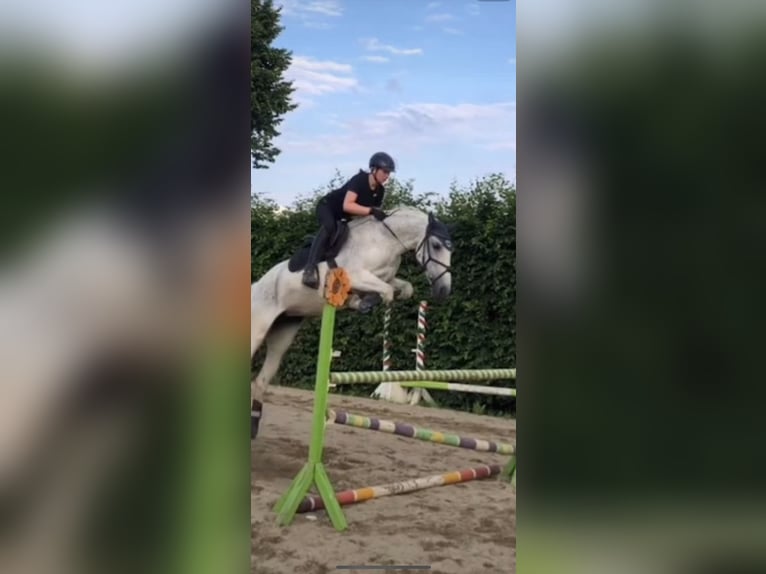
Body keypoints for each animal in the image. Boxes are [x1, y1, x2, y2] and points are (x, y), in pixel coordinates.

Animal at [252, 207, 456, 440]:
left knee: (261, 380)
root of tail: (256, 286)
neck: (385, 240)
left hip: (284, 333)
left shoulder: (387, 278)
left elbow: (403, 289)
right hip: (257, 329)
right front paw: (361, 302)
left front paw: (359, 301)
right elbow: (386, 291)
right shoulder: (356, 276)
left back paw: (253, 425)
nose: (443, 291)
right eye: (437, 246)